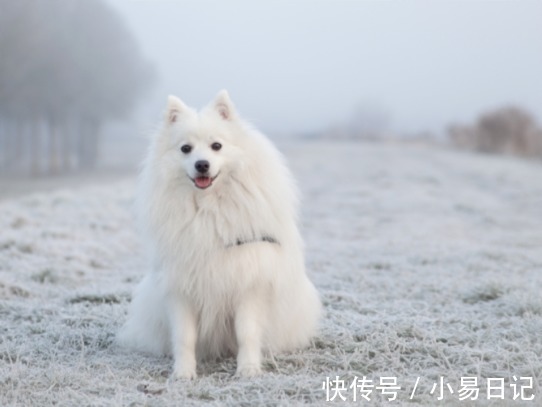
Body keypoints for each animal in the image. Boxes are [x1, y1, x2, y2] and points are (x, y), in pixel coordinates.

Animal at [118, 91, 324, 380]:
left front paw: (248, 369)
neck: (208, 209)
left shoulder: (249, 283)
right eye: (185, 148)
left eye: (216, 146)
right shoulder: (181, 288)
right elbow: (184, 336)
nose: (202, 164)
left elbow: (246, 333)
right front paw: (183, 373)